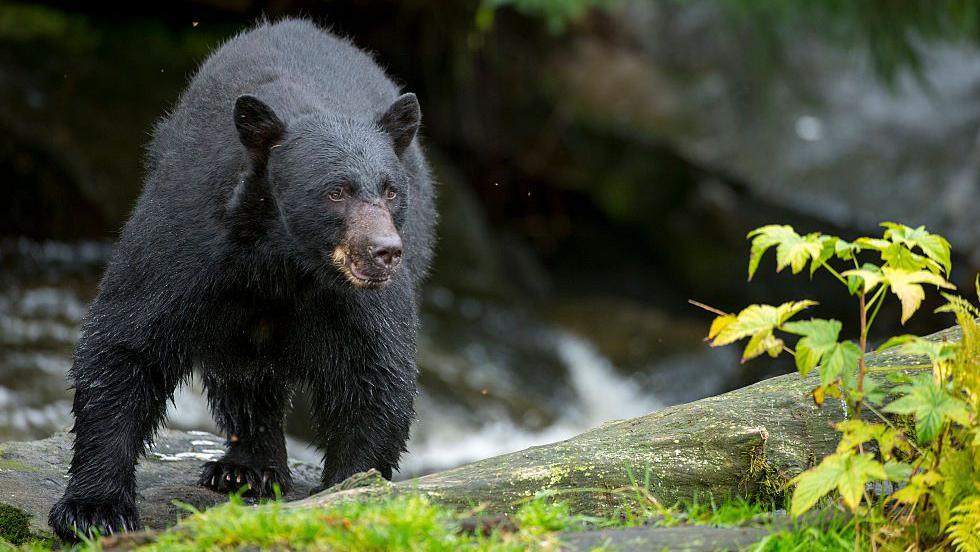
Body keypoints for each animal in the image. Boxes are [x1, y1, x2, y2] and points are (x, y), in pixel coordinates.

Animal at [47, 18, 434, 540]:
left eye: (390, 190)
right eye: (335, 191)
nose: (384, 252)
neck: (283, 261)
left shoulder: (355, 299)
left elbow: (374, 373)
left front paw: (350, 488)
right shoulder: (190, 243)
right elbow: (128, 341)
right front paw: (94, 510)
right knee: (243, 374)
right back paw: (247, 468)